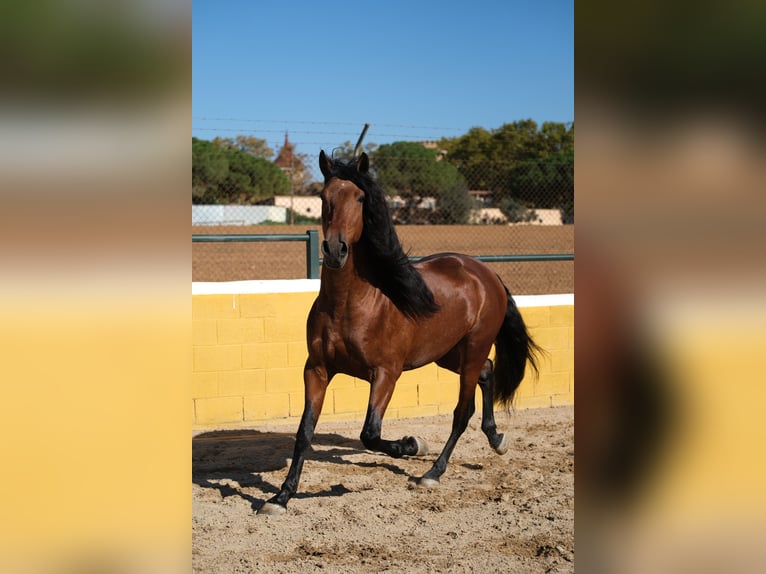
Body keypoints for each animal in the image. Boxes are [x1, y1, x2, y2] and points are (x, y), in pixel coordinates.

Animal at [258, 150, 540, 516]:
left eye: (360, 197)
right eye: (323, 197)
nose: (335, 250)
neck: (351, 304)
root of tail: (486, 273)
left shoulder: (385, 374)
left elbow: (369, 434)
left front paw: (413, 444)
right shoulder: (317, 370)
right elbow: (304, 432)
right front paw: (280, 497)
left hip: (474, 347)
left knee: (462, 412)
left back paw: (432, 473)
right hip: (448, 353)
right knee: (488, 372)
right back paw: (497, 440)